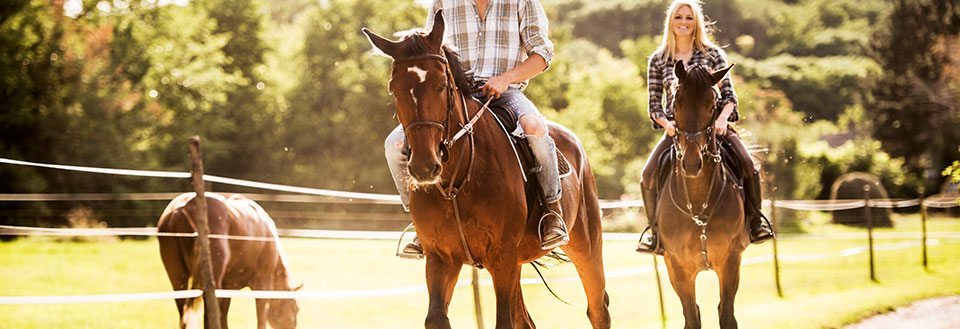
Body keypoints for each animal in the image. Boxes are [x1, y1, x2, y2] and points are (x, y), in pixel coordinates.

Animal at [158, 192, 300, 328]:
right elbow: (261, 317)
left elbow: (224, 317)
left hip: (178, 277)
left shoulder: (228, 286)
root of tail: (182, 208)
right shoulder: (262, 284)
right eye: (295, 309)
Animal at [360, 10, 608, 328]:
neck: (458, 180)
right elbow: (436, 317)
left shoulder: (502, 258)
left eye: (442, 85)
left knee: (598, 309)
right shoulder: (441, 258)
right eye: (394, 89)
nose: (425, 166)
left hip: (585, 247)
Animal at [660, 60, 752, 328]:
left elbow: (727, 316)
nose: (692, 164)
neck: (698, 199)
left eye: (712, 107)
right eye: (676, 104)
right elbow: (692, 317)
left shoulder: (730, 262)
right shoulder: (678, 268)